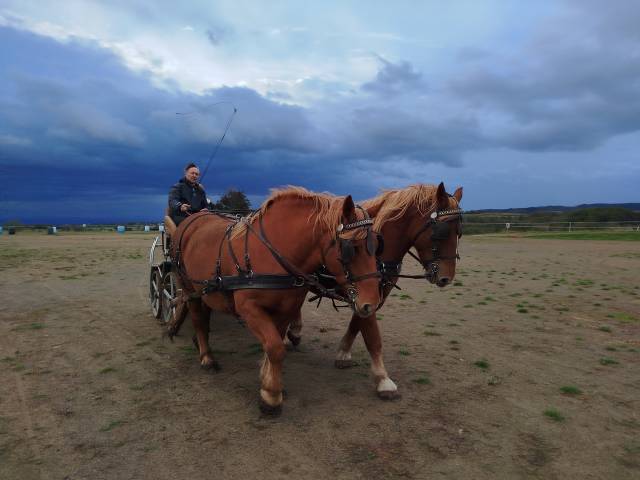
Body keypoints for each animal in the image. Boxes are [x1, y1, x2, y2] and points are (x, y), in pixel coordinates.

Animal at [168, 187, 382, 415]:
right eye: (353, 247)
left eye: (377, 245)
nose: (371, 303)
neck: (275, 253)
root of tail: (192, 218)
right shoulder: (249, 309)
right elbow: (276, 348)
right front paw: (271, 396)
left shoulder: (285, 310)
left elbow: (273, 345)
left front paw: (267, 380)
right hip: (188, 286)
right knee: (198, 319)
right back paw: (206, 357)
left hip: (206, 291)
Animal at [287, 182, 463, 399]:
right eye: (441, 231)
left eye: (459, 232)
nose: (446, 278)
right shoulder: (363, 293)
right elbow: (372, 336)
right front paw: (383, 379)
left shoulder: (369, 297)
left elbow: (357, 324)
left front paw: (343, 353)